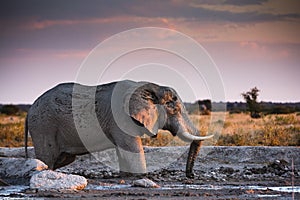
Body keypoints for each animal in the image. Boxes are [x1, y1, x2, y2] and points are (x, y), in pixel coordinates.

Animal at [25, 80, 213, 177]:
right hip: (43, 126)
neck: (150, 87)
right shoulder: (122, 119)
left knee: (62, 158)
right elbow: (133, 150)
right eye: (173, 106)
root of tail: (30, 109)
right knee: (47, 158)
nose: (191, 175)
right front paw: (141, 177)